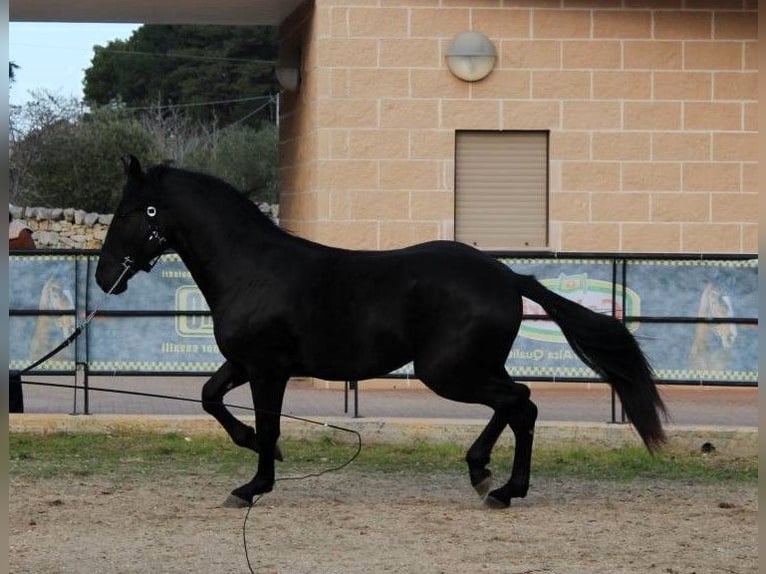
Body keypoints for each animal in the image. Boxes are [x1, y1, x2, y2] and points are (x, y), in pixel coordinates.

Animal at [99, 155, 668, 510]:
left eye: (130, 212)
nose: (105, 278)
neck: (252, 269)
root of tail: (507, 277)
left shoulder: (268, 369)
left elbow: (268, 422)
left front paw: (253, 486)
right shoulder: (244, 364)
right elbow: (210, 398)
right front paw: (257, 453)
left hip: (447, 371)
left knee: (520, 404)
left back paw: (499, 487)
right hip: (472, 367)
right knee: (517, 404)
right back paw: (487, 477)